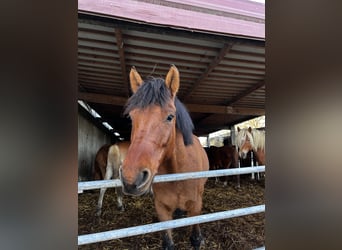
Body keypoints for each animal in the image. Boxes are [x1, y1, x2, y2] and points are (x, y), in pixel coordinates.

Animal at [121, 66, 210, 250]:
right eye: (132, 117)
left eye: (170, 117)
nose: (131, 179)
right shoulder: (162, 209)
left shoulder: (196, 207)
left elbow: (196, 239)